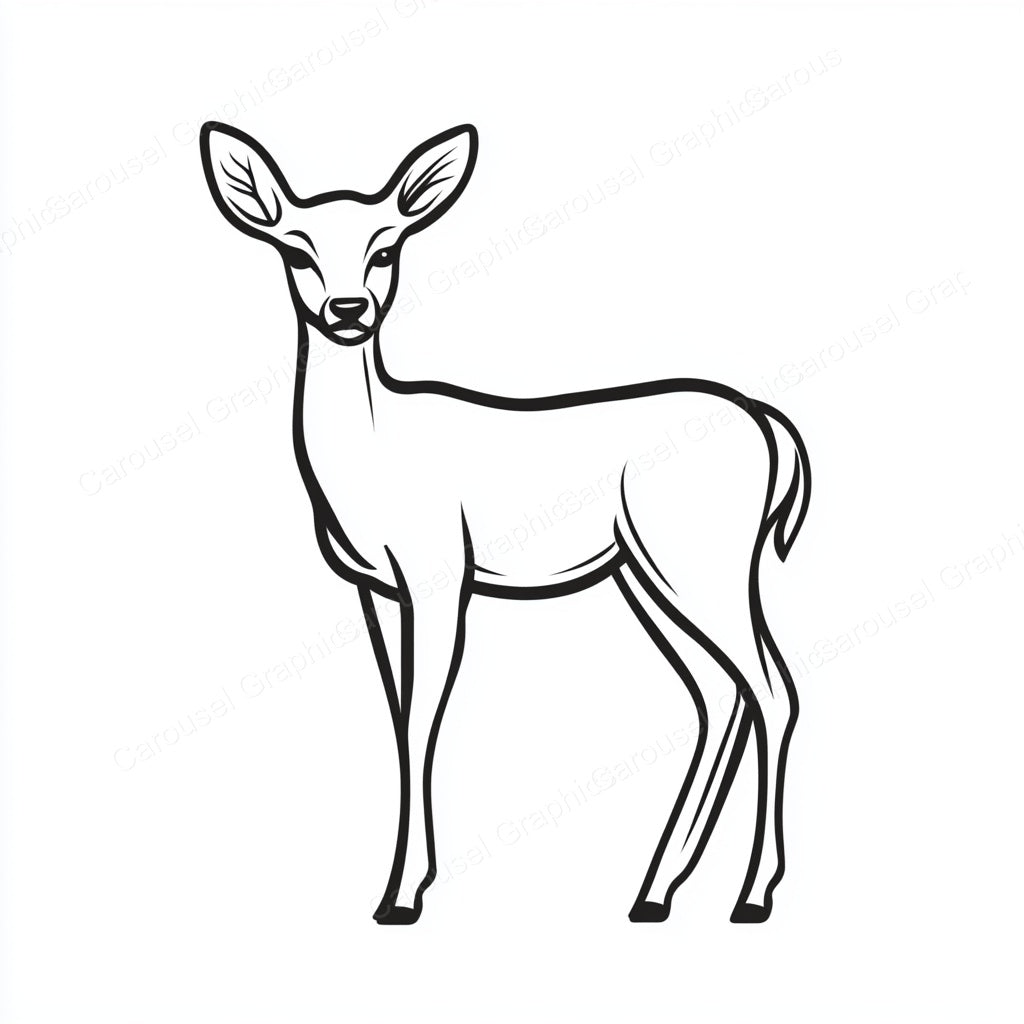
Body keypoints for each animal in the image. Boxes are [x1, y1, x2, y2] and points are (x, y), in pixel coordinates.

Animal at [199, 121, 812, 926]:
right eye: (296, 251)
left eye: (386, 248)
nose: (348, 309)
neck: (371, 455)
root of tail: (770, 427)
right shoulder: (374, 587)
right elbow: (398, 717)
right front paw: (400, 886)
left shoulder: (438, 573)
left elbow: (424, 717)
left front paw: (402, 895)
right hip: (644, 572)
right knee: (720, 693)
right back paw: (655, 891)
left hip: (701, 560)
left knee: (771, 689)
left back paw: (752, 895)